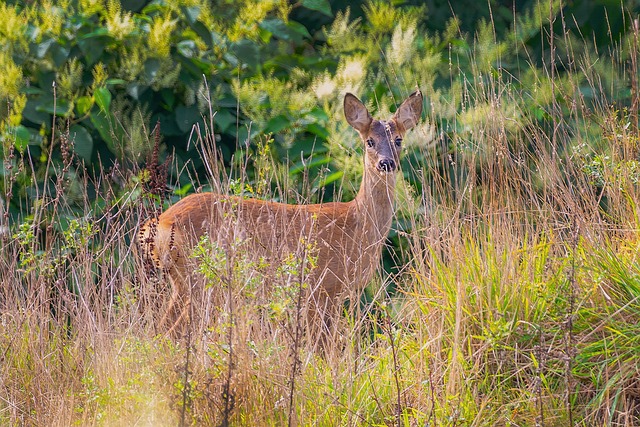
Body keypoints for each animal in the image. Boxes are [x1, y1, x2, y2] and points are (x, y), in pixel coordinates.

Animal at [138, 89, 422, 342]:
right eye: (369, 141)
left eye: (398, 140)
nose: (386, 163)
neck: (357, 224)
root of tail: (159, 223)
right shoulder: (320, 286)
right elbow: (321, 345)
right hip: (199, 276)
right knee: (171, 330)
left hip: (184, 280)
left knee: (162, 327)